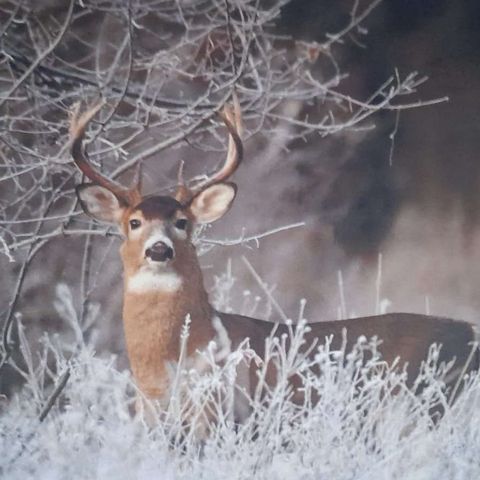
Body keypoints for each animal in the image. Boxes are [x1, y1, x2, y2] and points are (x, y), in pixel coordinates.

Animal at [69, 97, 478, 424]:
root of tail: (469, 334)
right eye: (134, 222)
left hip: (414, 404)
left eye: (182, 222)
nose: (159, 249)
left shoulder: (216, 415)